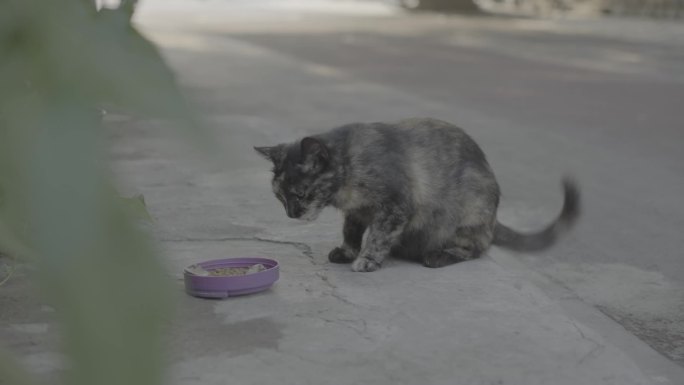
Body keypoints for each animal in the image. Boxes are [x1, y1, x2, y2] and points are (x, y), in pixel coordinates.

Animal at [254, 117, 580, 270]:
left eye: (300, 194)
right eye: (280, 197)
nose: (291, 214)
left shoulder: (396, 206)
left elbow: (378, 235)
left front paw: (368, 259)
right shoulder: (357, 211)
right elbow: (351, 231)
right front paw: (347, 251)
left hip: (471, 208)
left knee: (477, 247)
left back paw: (438, 255)